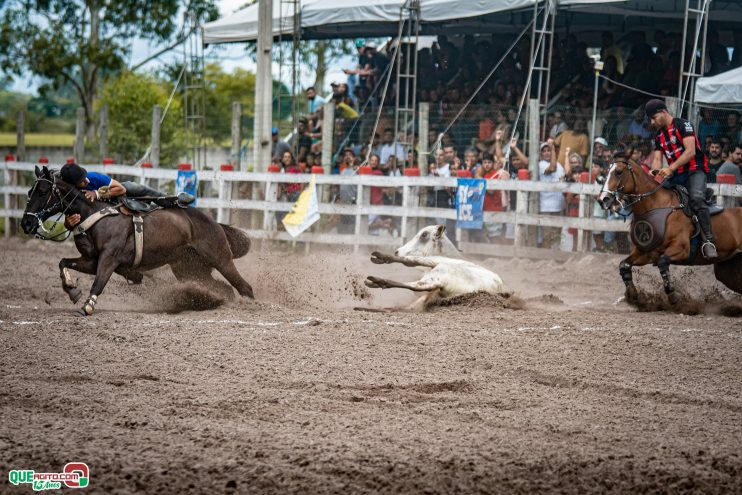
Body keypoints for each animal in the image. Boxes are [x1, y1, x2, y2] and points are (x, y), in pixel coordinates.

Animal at [21, 166, 256, 314]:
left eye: (43, 191)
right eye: (30, 190)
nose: (26, 223)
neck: (93, 212)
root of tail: (215, 223)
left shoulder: (109, 259)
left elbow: (99, 282)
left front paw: (87, 306)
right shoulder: (91, 260)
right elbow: (63, 262)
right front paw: (71, 289)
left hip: (220, 259)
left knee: (244, 287)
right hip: (189, 268)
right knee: (224, 289)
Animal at [368, 225, 508, 310]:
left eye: (424, 235)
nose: (397, 251)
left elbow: (411, 261)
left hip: (439, 266)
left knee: (412, 266)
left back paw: (378, 272)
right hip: (435, 276)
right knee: (417, 283)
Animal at [600, 155, 742, 304]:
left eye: (619, 172)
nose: (604, 199)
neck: (657, 205)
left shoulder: (681, 249)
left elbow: (663, 263)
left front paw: (674, 297)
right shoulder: (648, 252)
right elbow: (624, 265)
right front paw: (632, 294)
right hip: (726, 267)